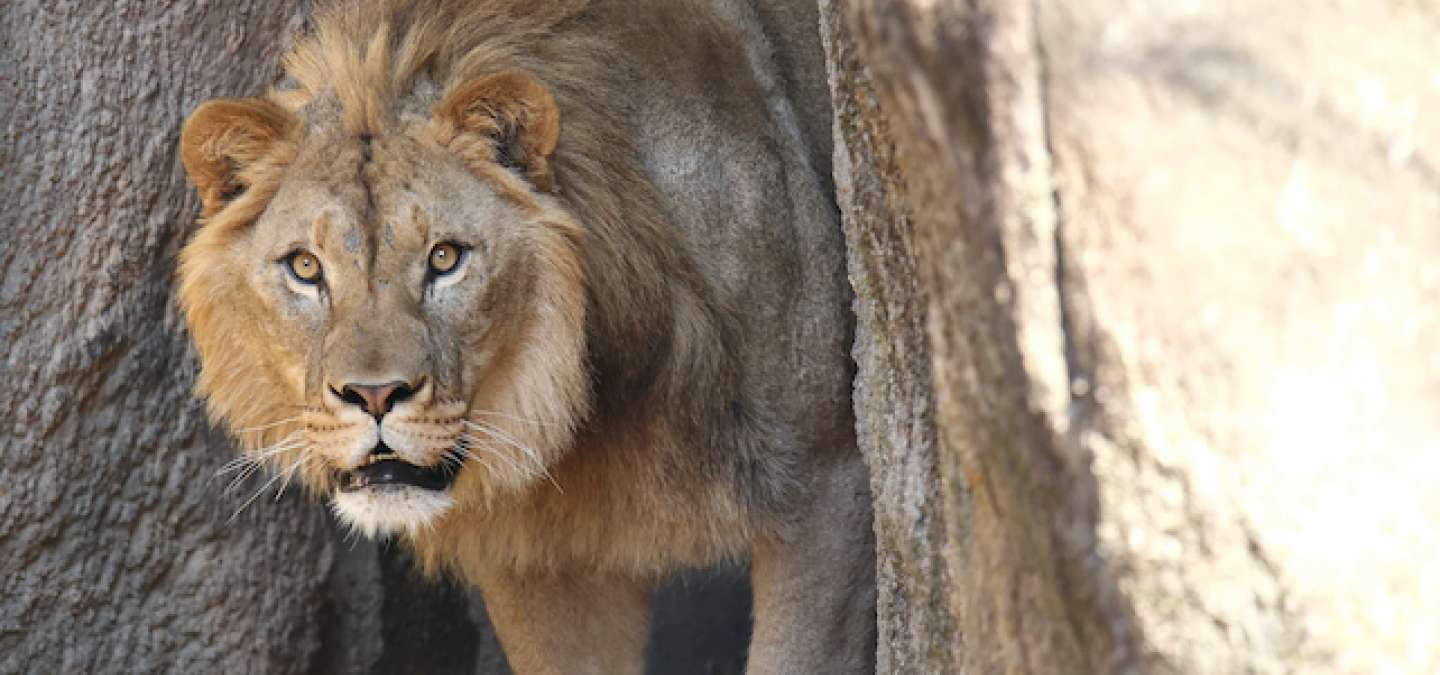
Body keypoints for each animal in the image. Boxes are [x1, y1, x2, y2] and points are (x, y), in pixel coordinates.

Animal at [176, 0, 875, 672]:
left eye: (444, 258)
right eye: (305, 267)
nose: (374, 396)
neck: (578, 416)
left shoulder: (825, 479)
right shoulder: (535, 558)